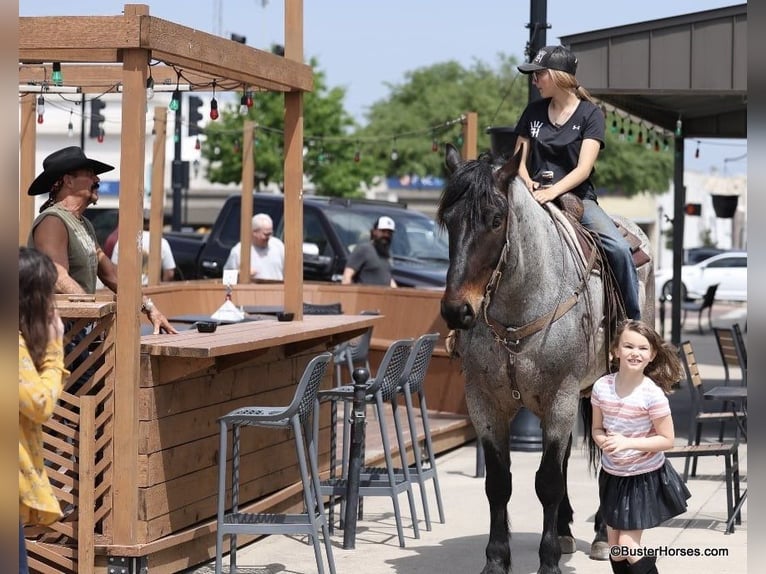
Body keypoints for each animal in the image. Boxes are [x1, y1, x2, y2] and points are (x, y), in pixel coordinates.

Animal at [438, 145, 656, 574]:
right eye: (448, 220)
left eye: (496, 219)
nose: (457, 311)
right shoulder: (484, 401)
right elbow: (499, 483)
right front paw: (497, 560)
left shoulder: (561, 396)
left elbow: (548, 481)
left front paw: (549, 560)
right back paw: (567, 528)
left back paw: (602, 535)